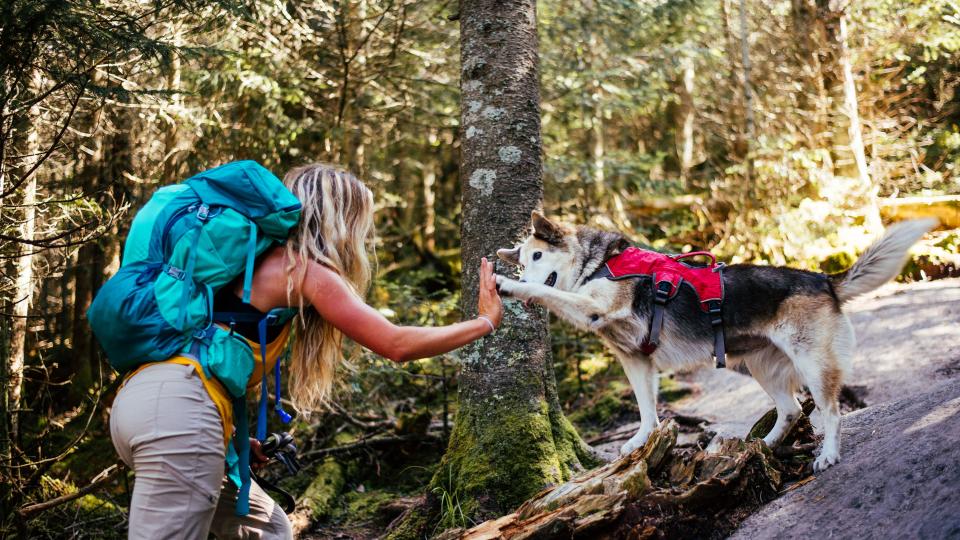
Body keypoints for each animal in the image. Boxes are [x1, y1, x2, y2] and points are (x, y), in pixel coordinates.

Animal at [498, 213, 932, 470]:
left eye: (537, 257)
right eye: (524, 259)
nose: (519, 275)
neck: (599, 264)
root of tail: (824, 279)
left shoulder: (593, 307)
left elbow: (549, 293)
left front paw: (507, 287)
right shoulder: (636, 360)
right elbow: (647, 411)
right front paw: (641, 441)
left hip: (813, 364)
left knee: (831, 412)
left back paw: (827, 455)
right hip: (761, 367)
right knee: (791, 410)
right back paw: (762, 448)